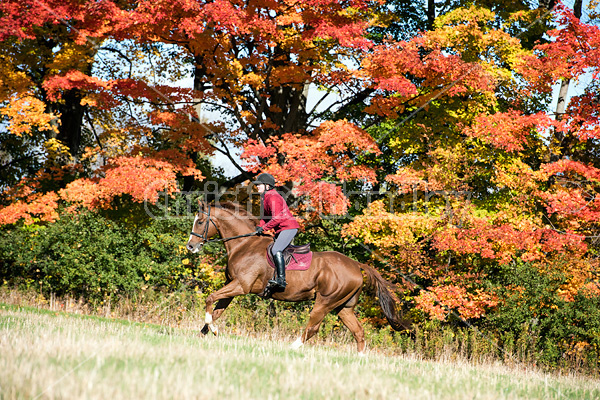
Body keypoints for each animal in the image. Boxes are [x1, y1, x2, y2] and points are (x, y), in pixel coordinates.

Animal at [186, 202, 412, 352]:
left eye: (201, 221)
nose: (191, 246)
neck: (244, 244)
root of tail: (356, 265)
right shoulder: (232, 287)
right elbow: (216, 310)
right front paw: (205, 333)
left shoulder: (241, 286)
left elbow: (210, 299)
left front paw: (212, 331)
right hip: (344, 307)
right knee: (358, 332)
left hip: (325, 302)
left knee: (313, 328)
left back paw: (291, 347)